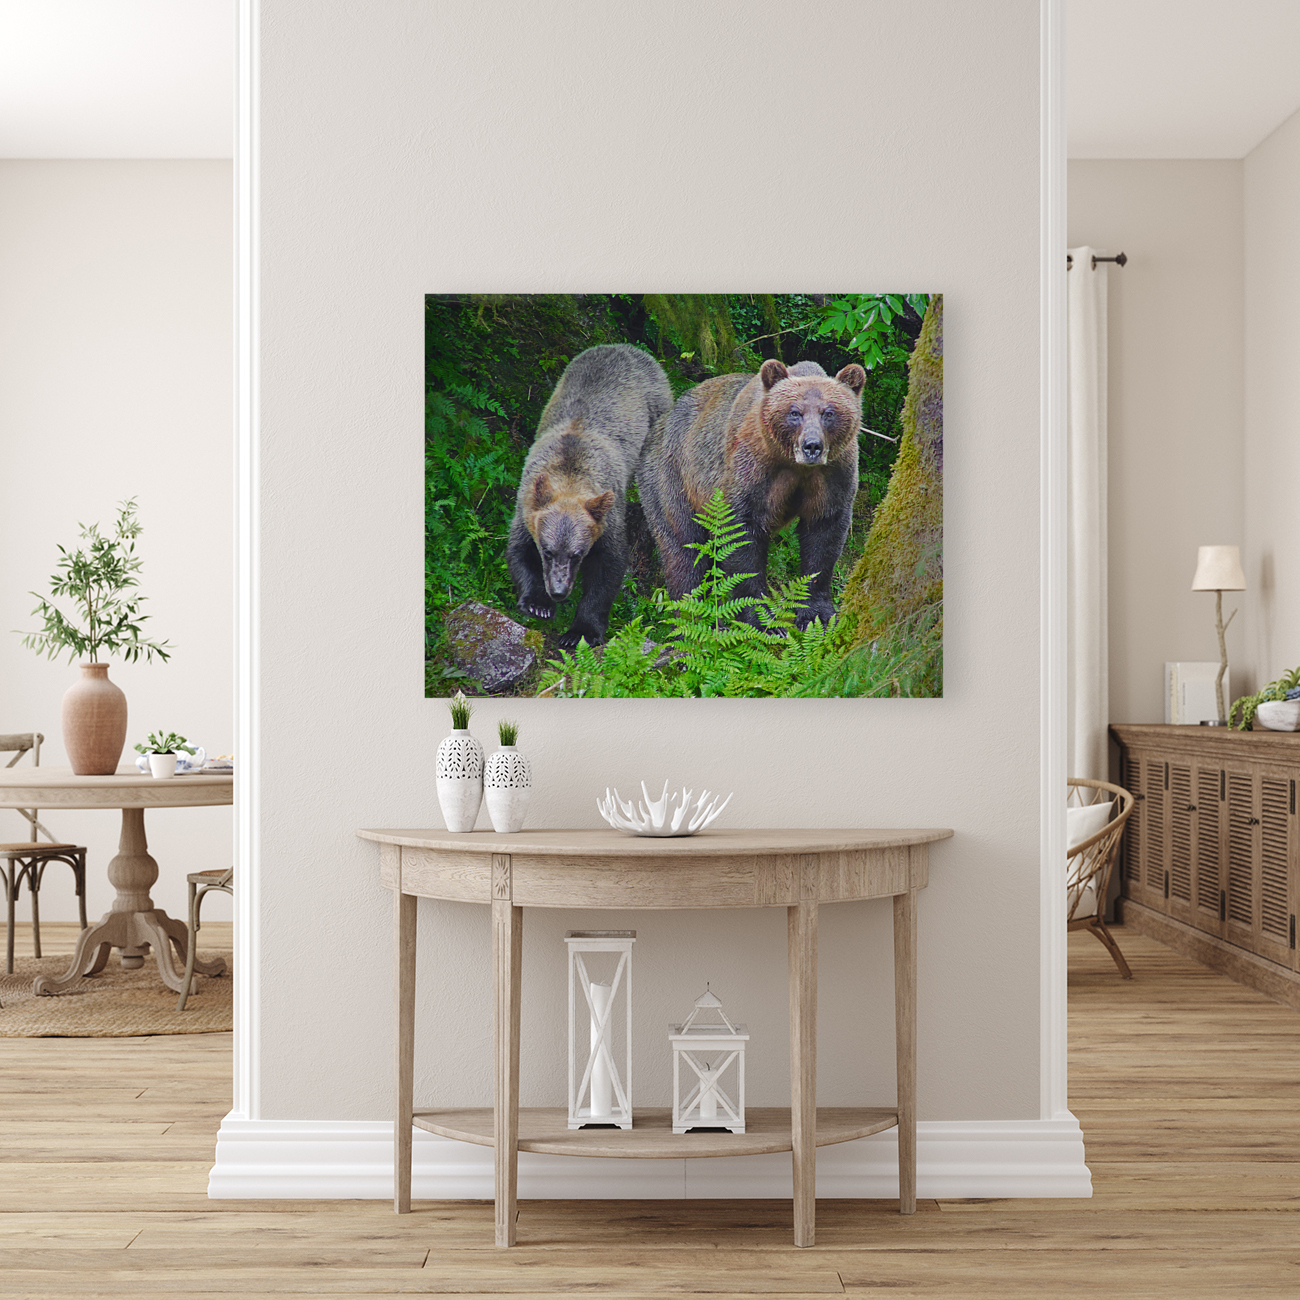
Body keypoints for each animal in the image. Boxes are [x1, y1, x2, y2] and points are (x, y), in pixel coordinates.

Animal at [507, 344, 673, 648]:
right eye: (547, 551)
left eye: (577, 554)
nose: (559, 591)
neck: (569, 478)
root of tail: (626, 347)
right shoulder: (528, 505)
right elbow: (519, 551)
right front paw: (538, 604)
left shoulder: (608, 518)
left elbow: (607, 568)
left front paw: (580, 631)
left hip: (656, 406)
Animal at [637, 357, 866, 628]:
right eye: (794, 412)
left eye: (829, 413)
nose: (812, 446)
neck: (795, 466)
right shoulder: (752, 469)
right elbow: (740, 535)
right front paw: (762, 620)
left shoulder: (833, 475)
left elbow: (824, 534)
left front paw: (815, 612)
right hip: (671, 478)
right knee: (683, 550)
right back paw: (690, 619)